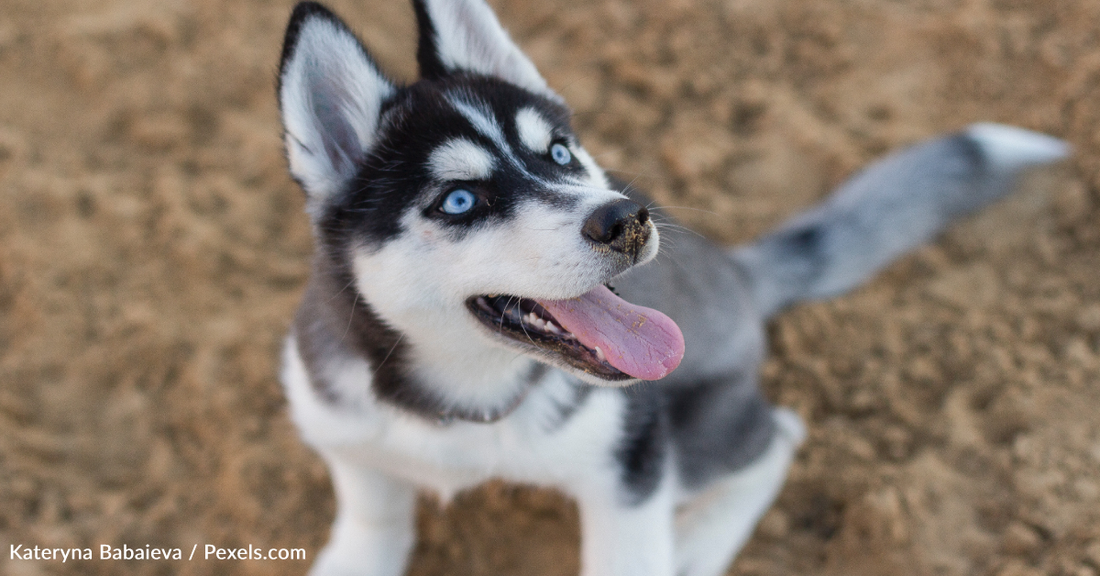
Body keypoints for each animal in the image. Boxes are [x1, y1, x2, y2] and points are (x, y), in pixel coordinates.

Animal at [277, 2, 1073, 571]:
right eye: (460, 200)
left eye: (559, 153)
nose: (626, 218)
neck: (463, 404)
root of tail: (738, 271)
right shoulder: (342, 431)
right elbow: (373, 511)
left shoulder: (630, 468)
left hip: (689, 438)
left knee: (780, 435)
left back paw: (695, 541)